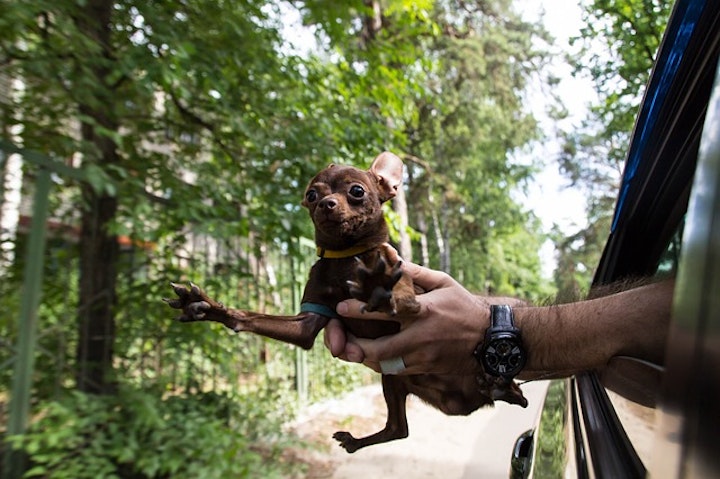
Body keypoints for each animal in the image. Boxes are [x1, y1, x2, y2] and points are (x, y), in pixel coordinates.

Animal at [169, 152, 528, 452]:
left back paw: (501, 384)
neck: (345, 257)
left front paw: (375, 286)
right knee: (398, 429)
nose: (326, 203)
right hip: (394, 378)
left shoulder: (409, 303)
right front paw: (209, 307)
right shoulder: (308, 322)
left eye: (356, 191)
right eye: (311, 195)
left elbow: (393, 294)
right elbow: (252, 317)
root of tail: (464, 403)